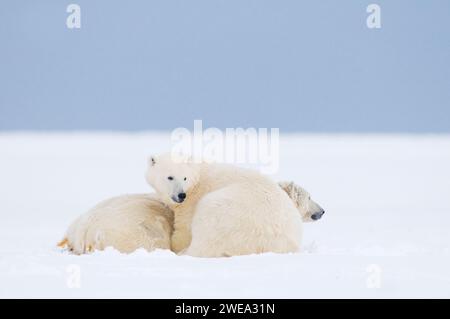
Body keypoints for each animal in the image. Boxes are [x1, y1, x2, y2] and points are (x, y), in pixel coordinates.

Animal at [146, 154, 322, 258]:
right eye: (170, 177)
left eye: (184, 178)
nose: (181, 195)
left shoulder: (192, 201)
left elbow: (183, 231)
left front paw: (176, 245)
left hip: (227, 214)